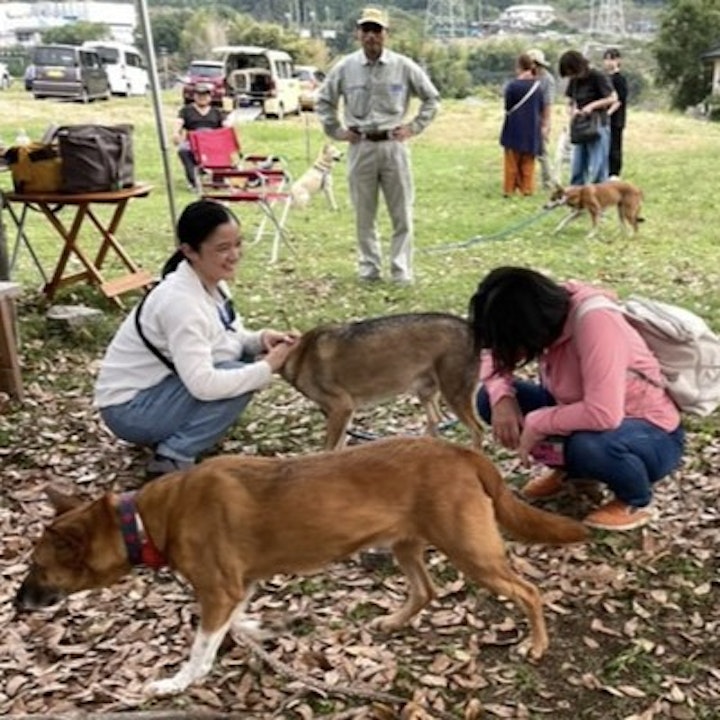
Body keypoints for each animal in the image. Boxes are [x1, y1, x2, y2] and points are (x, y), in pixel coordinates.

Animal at [15, 436, 592, 696]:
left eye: (37, 568)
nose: (17, 605)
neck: (145, 518)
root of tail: (459, 450)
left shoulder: (218, 591)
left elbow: (200, 649)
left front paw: (176, 683)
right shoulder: (237, 586)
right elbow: (234, 626)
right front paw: (260, 631)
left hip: (471, 551)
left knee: (530, 592)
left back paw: (537, 644)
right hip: (407, 544)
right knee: (425, 591)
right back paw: (394, 621)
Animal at [282, 310, 484, 448]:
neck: (299, 355)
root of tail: (469, 326)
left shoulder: (341, 408)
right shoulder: (343, 413)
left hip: (453, 396)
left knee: (477, 430)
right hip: (425, 392)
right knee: (435, 419)